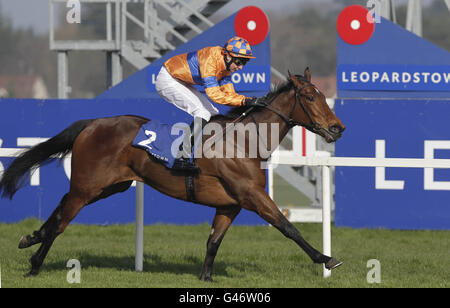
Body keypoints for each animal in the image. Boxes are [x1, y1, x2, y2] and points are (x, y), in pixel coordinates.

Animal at [0, 68, 344, 280]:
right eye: (310, 97)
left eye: (322, 95)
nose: (337, 128)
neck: (244, 140)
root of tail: (92, 123)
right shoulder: (252, 195)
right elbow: (288, 227)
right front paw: (326, 258)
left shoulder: (229, 204)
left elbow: (213, 242)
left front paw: (206, 278)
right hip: (89, 186)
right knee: (61, 220)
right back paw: (34, 265)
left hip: (109, 186)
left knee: (60, 205)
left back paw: (31, 237)